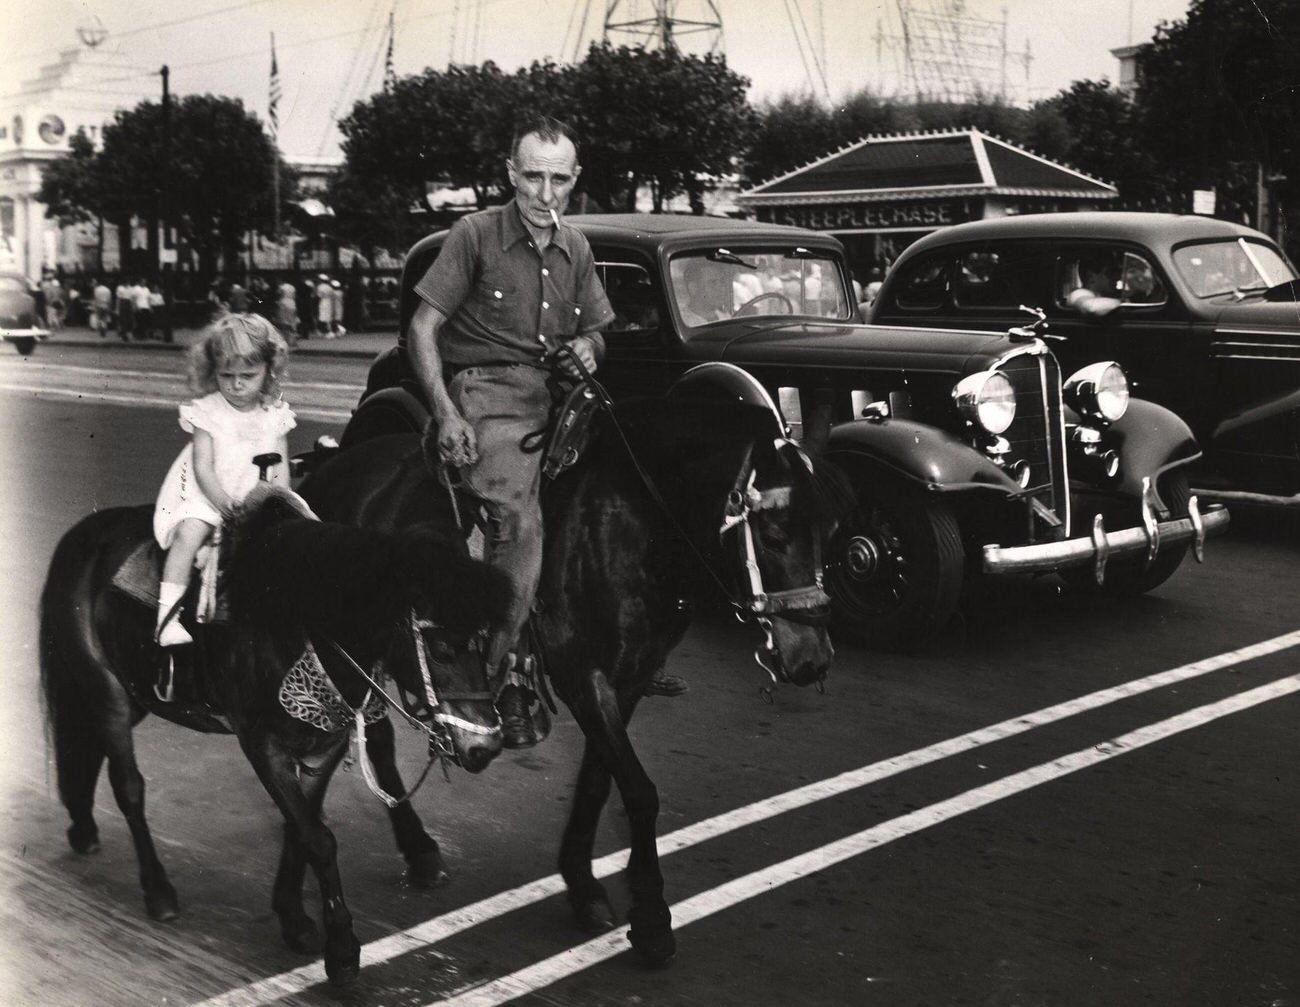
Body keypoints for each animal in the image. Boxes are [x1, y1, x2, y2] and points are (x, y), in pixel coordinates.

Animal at [40, 488, 509, 982]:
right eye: (440, 648)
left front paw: (294, 916)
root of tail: (84, 534)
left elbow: (301, 827)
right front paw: (341, 947)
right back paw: (157, 889)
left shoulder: (324, 747)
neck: (302, 626)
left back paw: (82, 824)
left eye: (483, 642)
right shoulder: (263, 746)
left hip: (131, 697)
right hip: (106, 690)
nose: (486, 744)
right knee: (128, 787)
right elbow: (318, 838)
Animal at [297, 392, 852, 961]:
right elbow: (639, 791)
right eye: (774, 533)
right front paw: (651, 916)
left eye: (832, 530)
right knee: (378, 739)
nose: (811, 657)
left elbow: (598, 781)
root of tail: (327, 468)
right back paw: (418, 848)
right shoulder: (582, 675)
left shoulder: (628, 679)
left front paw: (582, 884)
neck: (634, 528)